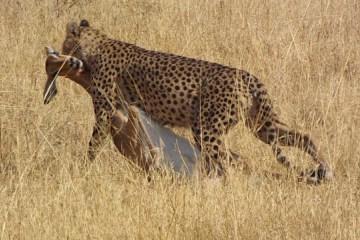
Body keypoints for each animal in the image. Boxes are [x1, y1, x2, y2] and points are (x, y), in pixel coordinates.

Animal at [53, 19, 332, 183]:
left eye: (65, 42)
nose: (60, 52)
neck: (97, 42)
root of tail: (247, 75)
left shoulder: (105, 111)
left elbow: (94, 143)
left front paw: (83, 168)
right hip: (260, 126)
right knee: (302, 137)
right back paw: (324, 167)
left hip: (207, 129)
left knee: (228, 161)